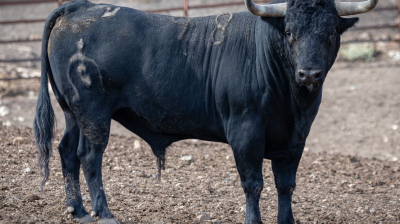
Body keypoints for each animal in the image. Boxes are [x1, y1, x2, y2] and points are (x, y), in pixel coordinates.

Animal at [34, 0, 364, 223]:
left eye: (331, 33)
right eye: (290, 32)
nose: (309, 74)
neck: (291, 103)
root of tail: (81, 7)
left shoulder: (296, 139)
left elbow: (286, 185)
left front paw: (287, 221)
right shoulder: (245, 131)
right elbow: (253, 183)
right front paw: (253, 220)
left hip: (71, 111)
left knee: (67, 151)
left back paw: (77, 209)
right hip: (93, 112)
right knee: (89, 156)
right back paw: (103, 213)